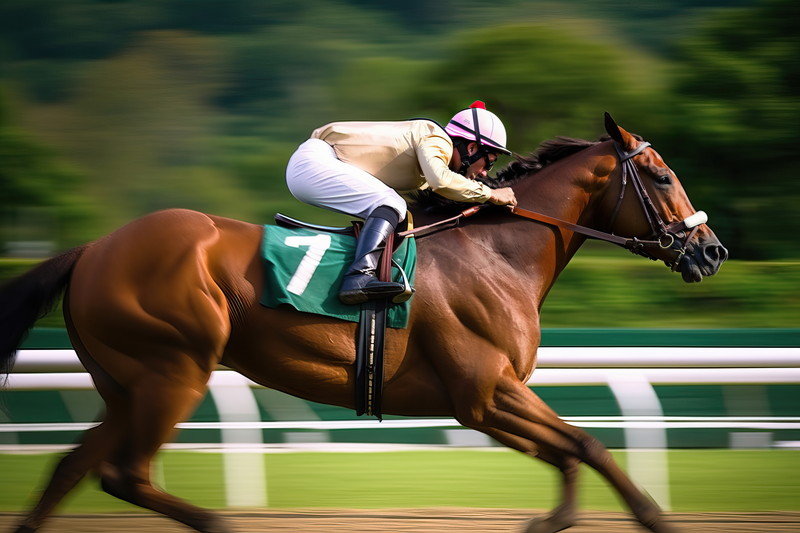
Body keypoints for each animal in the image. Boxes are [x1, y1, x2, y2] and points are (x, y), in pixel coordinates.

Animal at [0, 114, 727, 533]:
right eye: (663, 175)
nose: (712, 250)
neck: (496, 252)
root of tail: (94, 249)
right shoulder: (483, 392)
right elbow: (586, 444)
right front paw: (652, 518)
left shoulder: (488, 400)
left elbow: (574, 449)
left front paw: (558, 520)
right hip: (172, 369)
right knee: (126, 473)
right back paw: (219, 524)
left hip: (126, 382)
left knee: (73, 468)